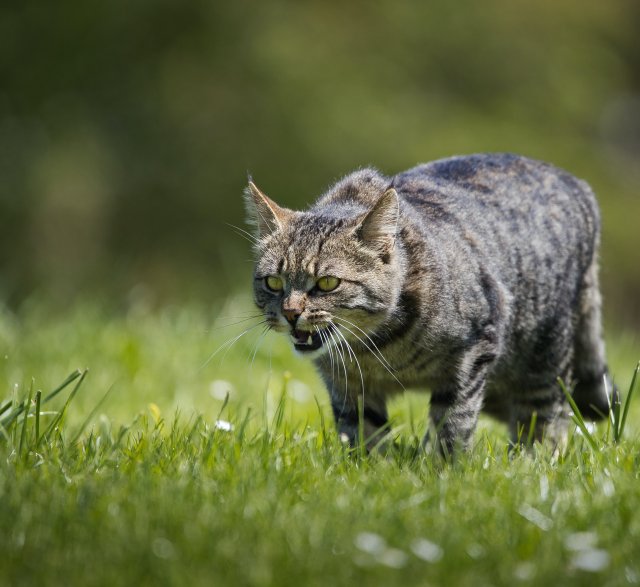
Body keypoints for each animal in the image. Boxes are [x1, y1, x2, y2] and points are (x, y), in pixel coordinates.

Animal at [244, 153, 616, 454]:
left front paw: (441, 471)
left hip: (542, 359)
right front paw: (370, 468)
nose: (291, 313)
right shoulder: (345, 384)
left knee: (545, 420)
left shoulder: (473, 353)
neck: (377, 350)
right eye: (273, 283)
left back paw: (529, 462)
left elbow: (452, 424)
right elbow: (361, 432)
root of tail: (577, 183)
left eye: (327, 283)